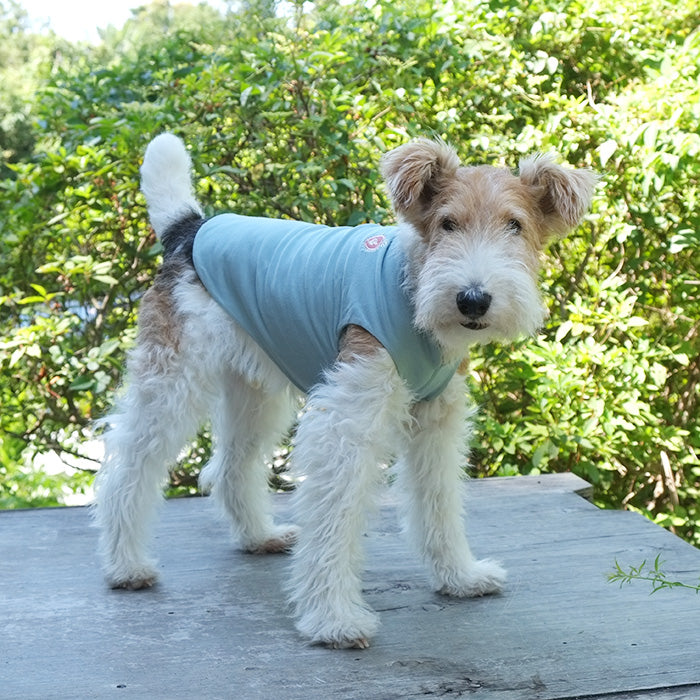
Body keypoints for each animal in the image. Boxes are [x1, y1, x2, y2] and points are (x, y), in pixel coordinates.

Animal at [95, 133, 596, 649]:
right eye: (447, 223)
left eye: (515, 225)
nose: (472, 299)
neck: (411, 287)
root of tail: (191, 229)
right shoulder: (346, 421)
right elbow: (334, 517)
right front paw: (333, 618)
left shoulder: (436, 421)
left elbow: (439, 500)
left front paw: (460, 576)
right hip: (173, 381)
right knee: (129, 465)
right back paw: (126, 564)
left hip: (255, 391)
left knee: (230, 467)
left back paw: (258, 536)